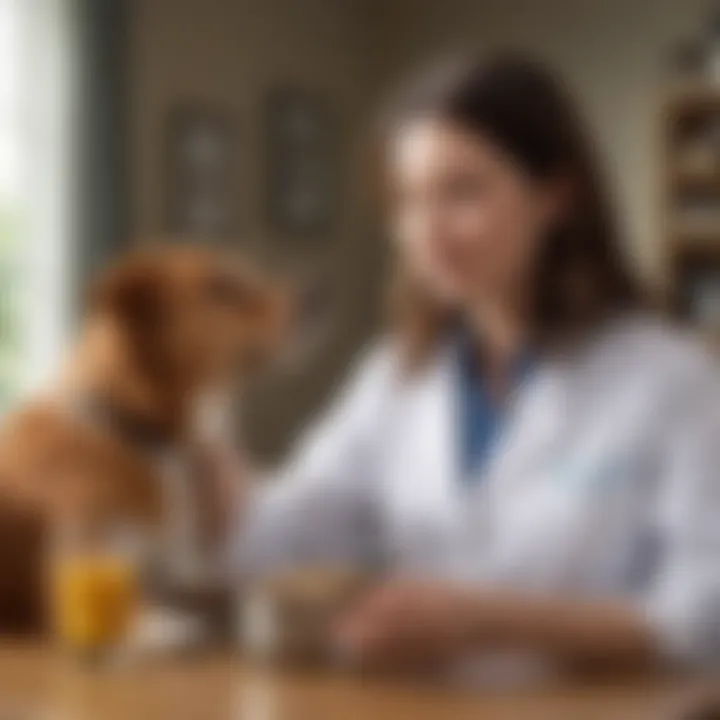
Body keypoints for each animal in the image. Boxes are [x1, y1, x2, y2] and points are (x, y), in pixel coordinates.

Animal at [0, 245, 290, 632]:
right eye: (219, 286)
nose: (316, 296)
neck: (141, 433)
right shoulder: (82, 575)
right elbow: (149, 609)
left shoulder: (183, 572)